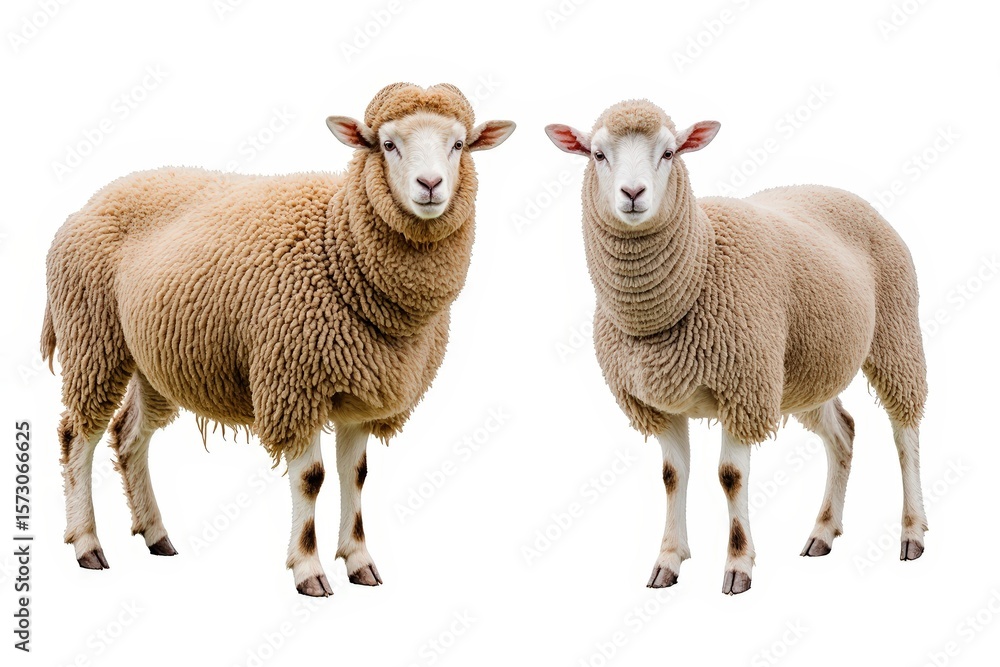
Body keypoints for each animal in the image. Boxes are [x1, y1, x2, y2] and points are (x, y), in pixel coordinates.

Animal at [41, 82, 515, 596]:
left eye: (459, 144)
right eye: (387, 144)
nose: (430, 185)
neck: (338, 243)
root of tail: (92, 200)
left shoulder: (362, 387)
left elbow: (356, 476)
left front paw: (359, 561)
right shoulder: (294, 381)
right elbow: (311, 478)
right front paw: (309, 570)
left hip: (154, 359)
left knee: (128, 435)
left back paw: (156, 534)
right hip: (92, 336)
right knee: (77, 434)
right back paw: (87, 544)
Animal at [545, 100, 927, 595]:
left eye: (669, 153)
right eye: (597, 154)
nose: (632, 193)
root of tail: (839, 191)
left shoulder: (742, 389)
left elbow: (731, 476)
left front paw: (738, 565)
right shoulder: (660, 403)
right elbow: (672, 476)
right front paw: (668, 559)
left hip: (896, 335)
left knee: (905, 434)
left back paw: (913, 531)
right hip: (803, 373)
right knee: (843, 432)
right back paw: (823, 532)